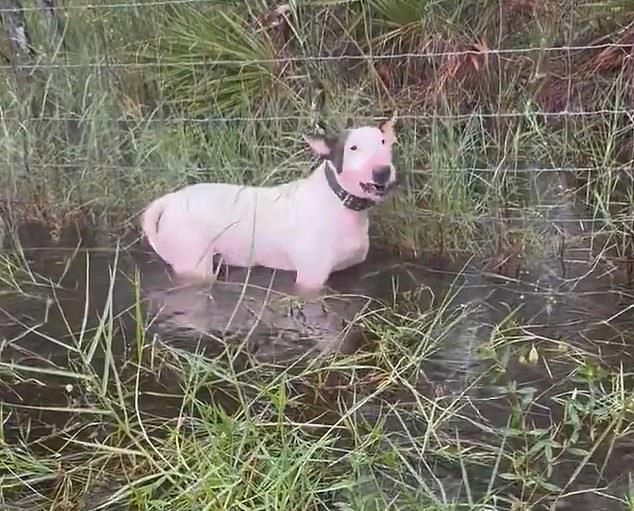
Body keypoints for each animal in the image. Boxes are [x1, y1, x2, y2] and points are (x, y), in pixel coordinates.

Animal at [142, 114, 396, 294]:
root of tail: (169, 200)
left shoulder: (352, 270)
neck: (339, 201)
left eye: (384, 142)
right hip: (194, 263)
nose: (382, 171)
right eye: (352, 147)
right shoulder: (311, 280)